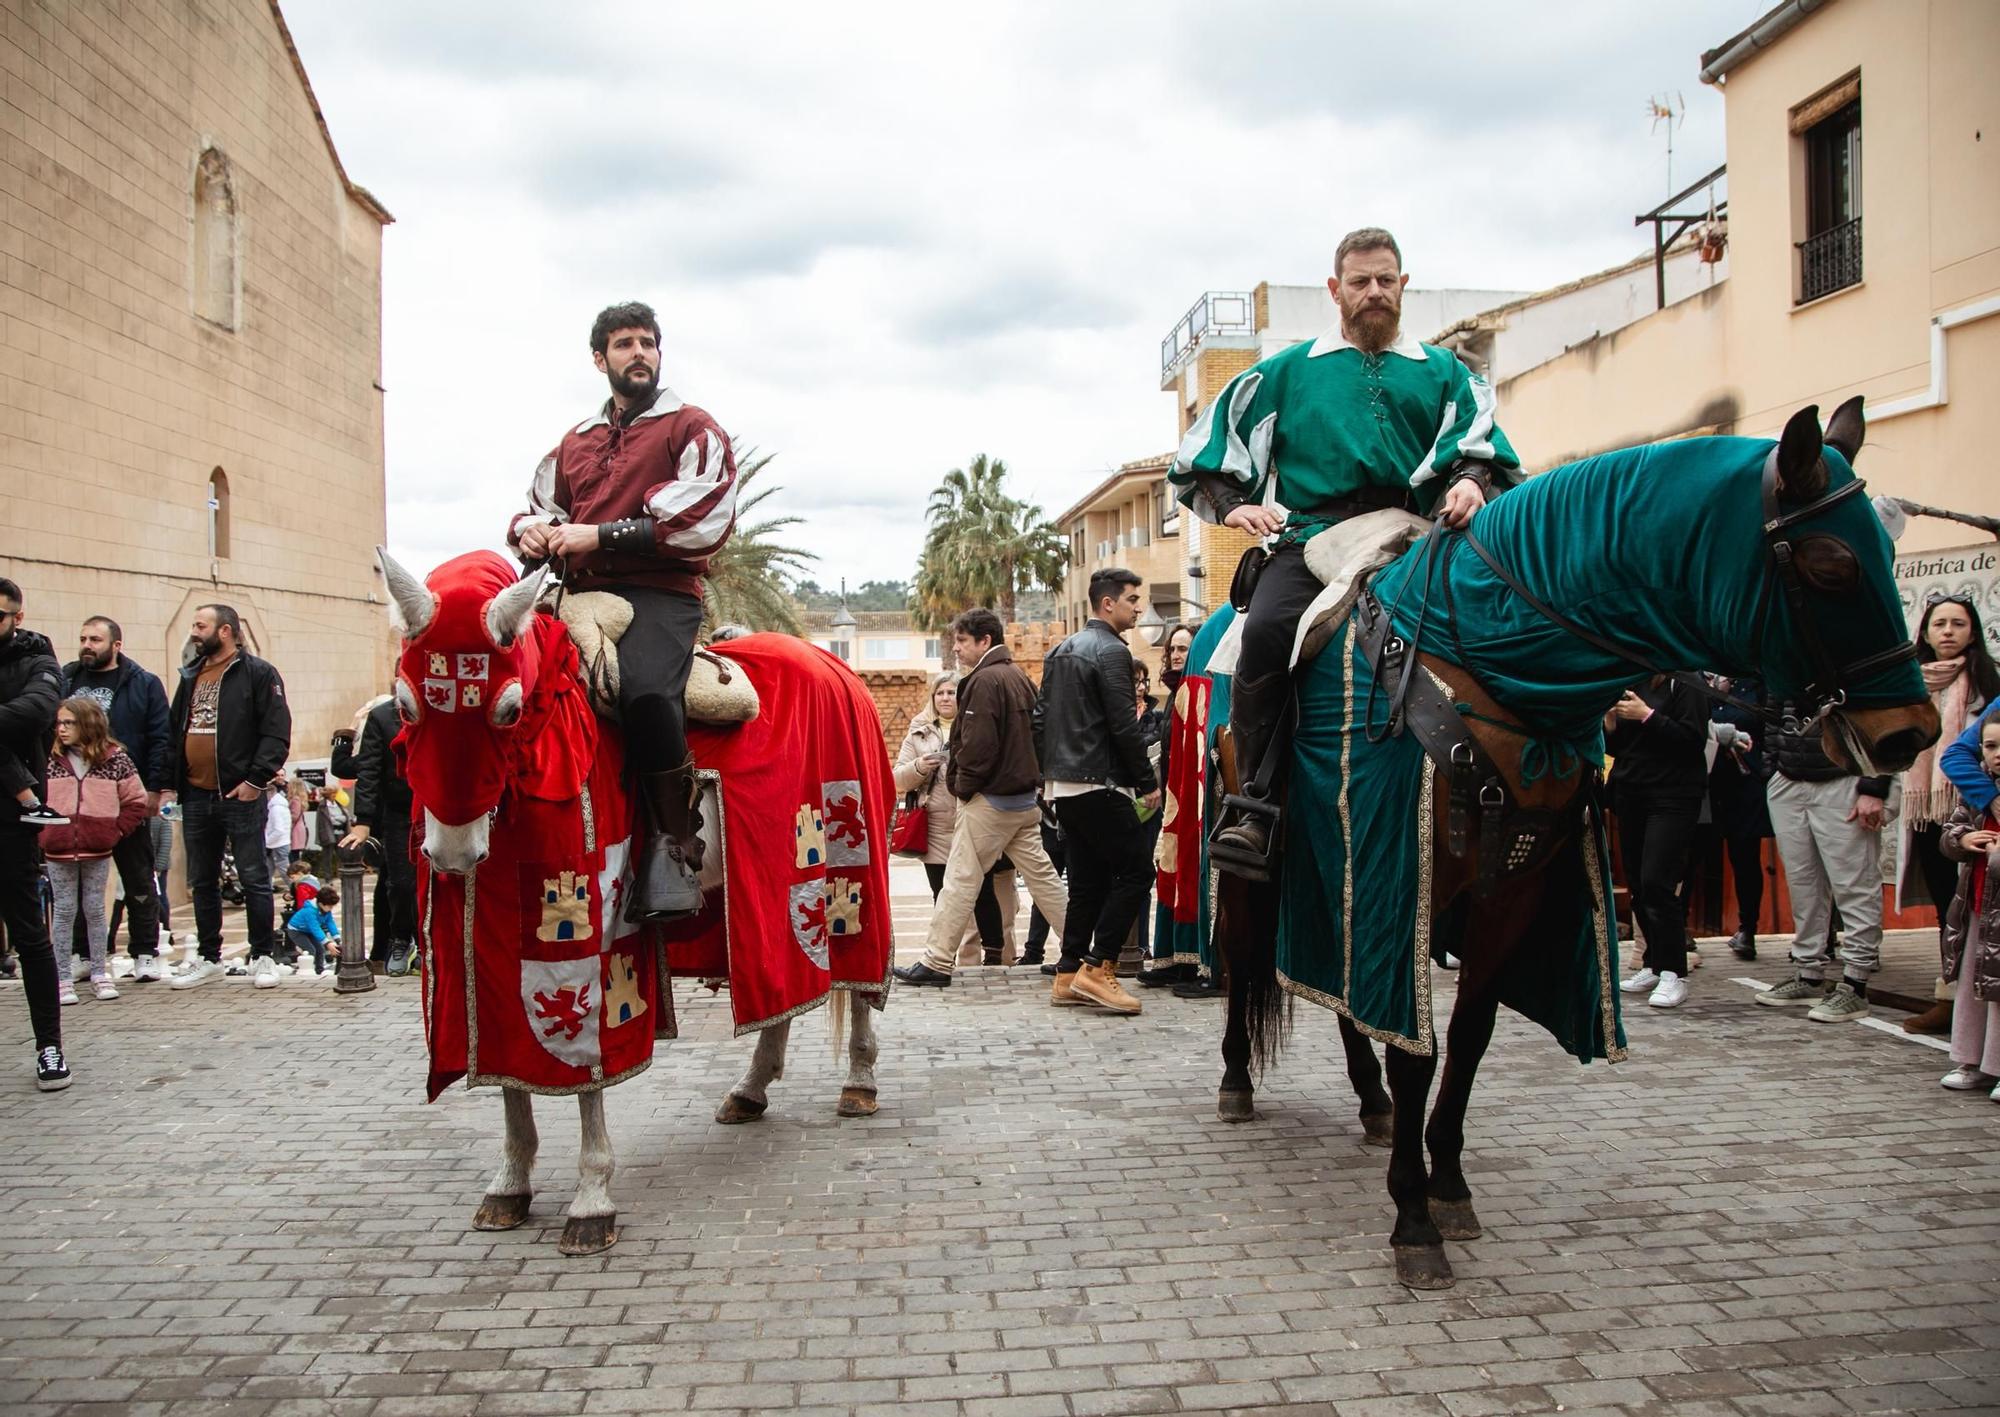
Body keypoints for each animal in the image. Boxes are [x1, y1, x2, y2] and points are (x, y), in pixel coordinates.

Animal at [1200, 402, 1936, 1296]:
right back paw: (1239, 1081)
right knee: (1246, 964)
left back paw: (1371, 1105)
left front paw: (1448, 1182)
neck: (1494, 664)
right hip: (1257, 865)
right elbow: (1419, 1050)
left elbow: (1468, 1036)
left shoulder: (1506, 887)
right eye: (1833, 565)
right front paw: (1413, 1220)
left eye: (1889, 553)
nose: (1908, 733)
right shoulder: (1395, 867)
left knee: (1329, 982)